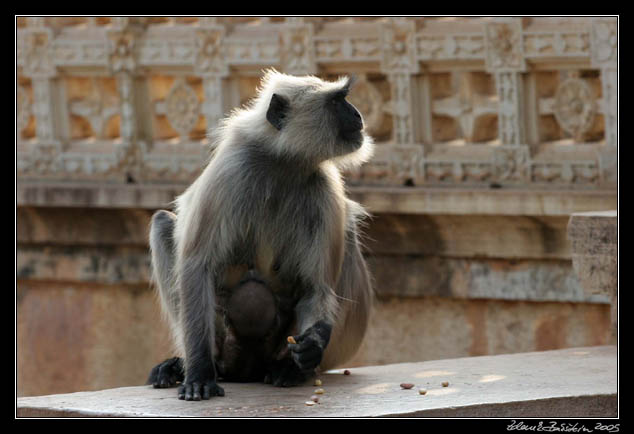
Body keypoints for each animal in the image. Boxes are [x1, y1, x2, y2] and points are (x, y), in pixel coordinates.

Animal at [147, 68, 376, 400]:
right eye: (337, 102)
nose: (357, 113)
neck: (282, 163)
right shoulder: (232, 170)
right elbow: (197, 265)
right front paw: (200, 371)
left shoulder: (324, 188)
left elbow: (316, 287)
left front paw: (311, 346)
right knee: (163, 222)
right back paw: (193, 364)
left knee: (346, 234)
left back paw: (293, 368)